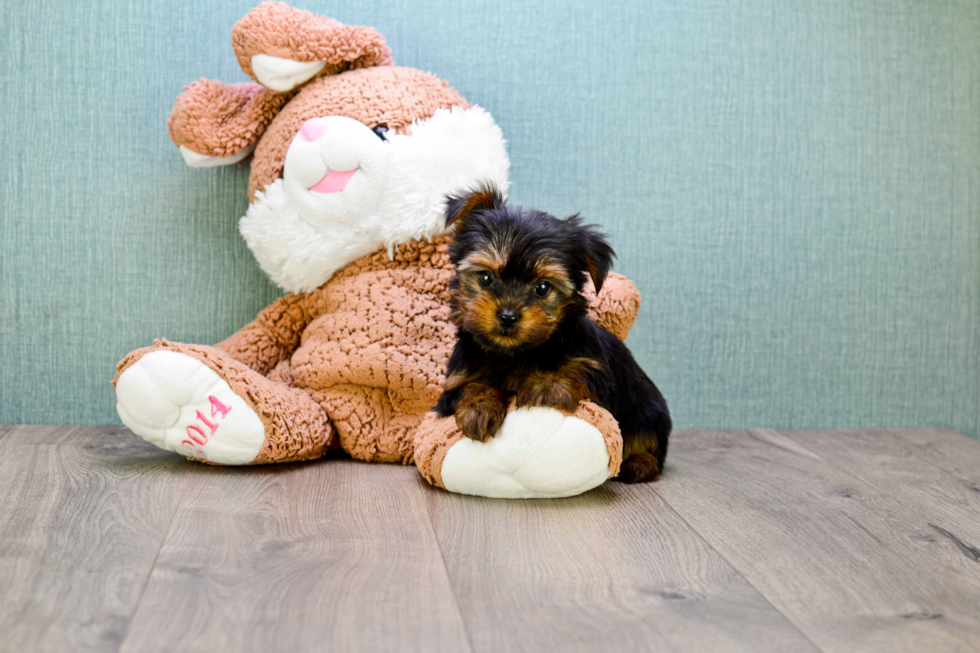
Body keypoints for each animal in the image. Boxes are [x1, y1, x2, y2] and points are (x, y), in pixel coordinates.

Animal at [436, 183, 672, 478]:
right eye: (486, 278)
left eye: (542, 288)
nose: (508, 316)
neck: (514, 354)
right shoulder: (454, 382)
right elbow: (470, 386)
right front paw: (479, 407)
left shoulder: (597, 373)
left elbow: (573, 369)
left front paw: (545, 385)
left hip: (647, 411)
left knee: (648, 442)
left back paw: (640, 463)